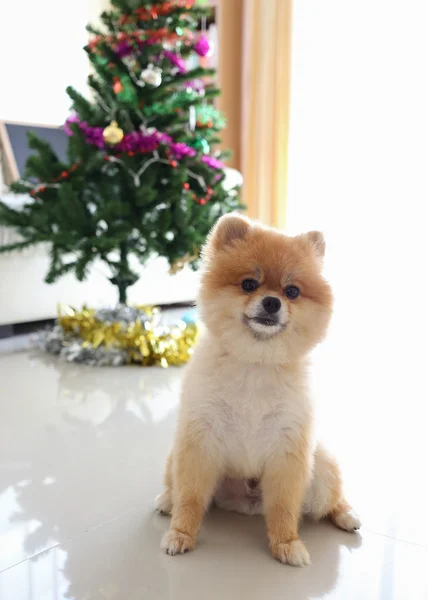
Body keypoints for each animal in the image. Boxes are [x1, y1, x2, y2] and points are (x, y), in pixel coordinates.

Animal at [155, 213, 360, 564]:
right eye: (249, 284)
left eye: (292, 291)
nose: (272, 301)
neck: (256, 362)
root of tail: (247, 502)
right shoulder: (199, 440)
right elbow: (191, 497)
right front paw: (181, 534)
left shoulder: (288, 449)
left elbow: (283, 506)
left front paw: (286, 543)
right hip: (174, 457)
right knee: (176, 487)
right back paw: (167, 500)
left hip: (323, 464)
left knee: (330, 501)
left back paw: (346, 515)